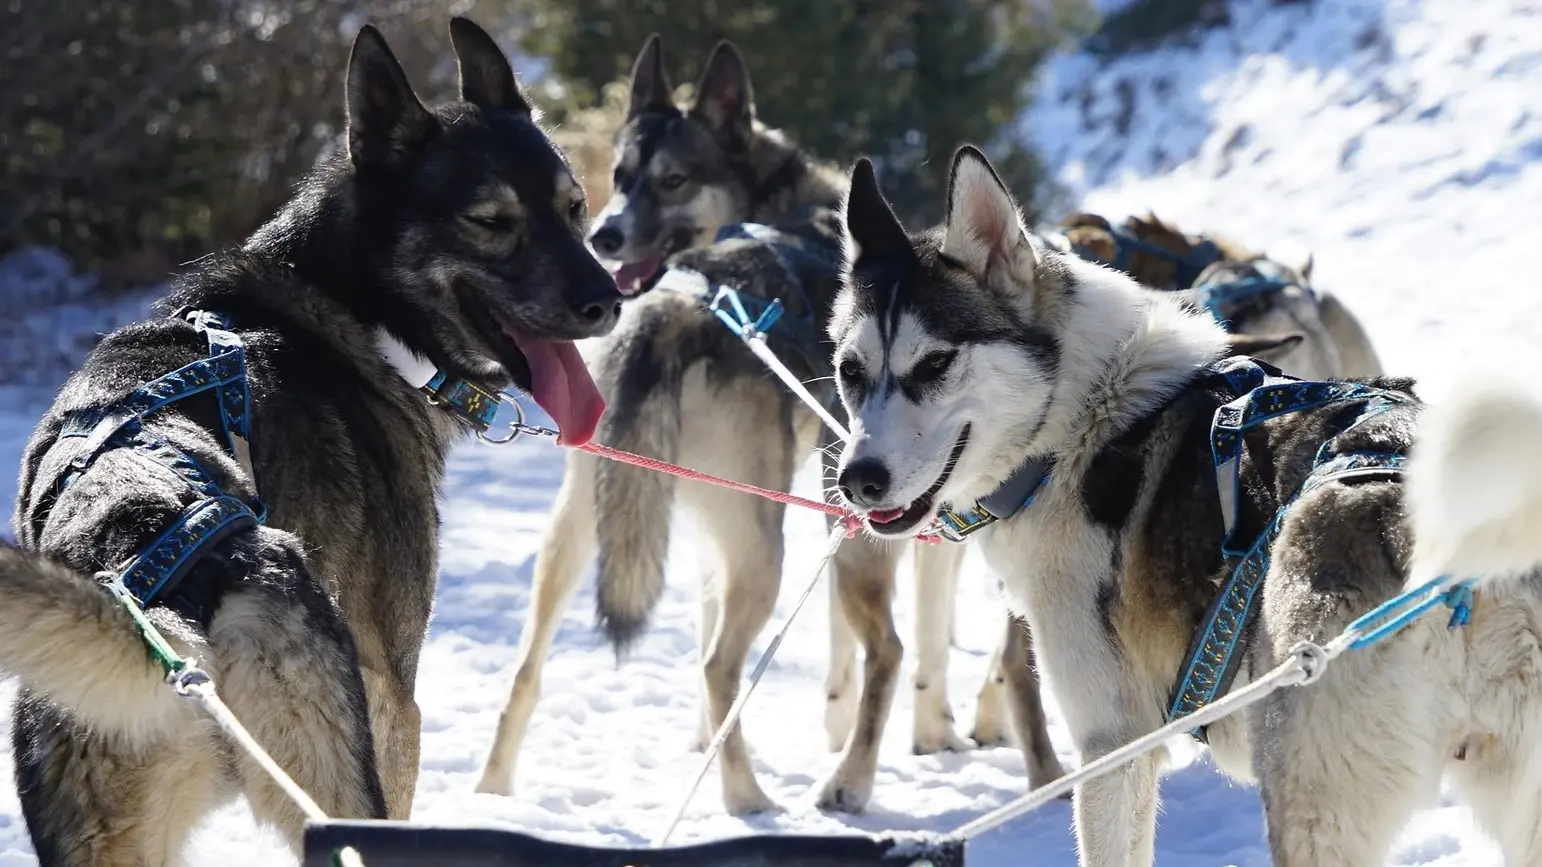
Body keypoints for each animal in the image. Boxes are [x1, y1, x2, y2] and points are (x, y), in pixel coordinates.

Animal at [0, 18, 616, 857]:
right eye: (491, 223)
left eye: (575, 206)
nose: (608, 301)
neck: (352, 308)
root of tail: (178, 603)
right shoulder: (393, 696)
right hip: (347, 784)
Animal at [832, 145, 1542, 857]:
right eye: (848, 370)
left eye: (935, 363)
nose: (857, 480)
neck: (1079, 418)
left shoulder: (1113, 748)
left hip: (1309, 806)